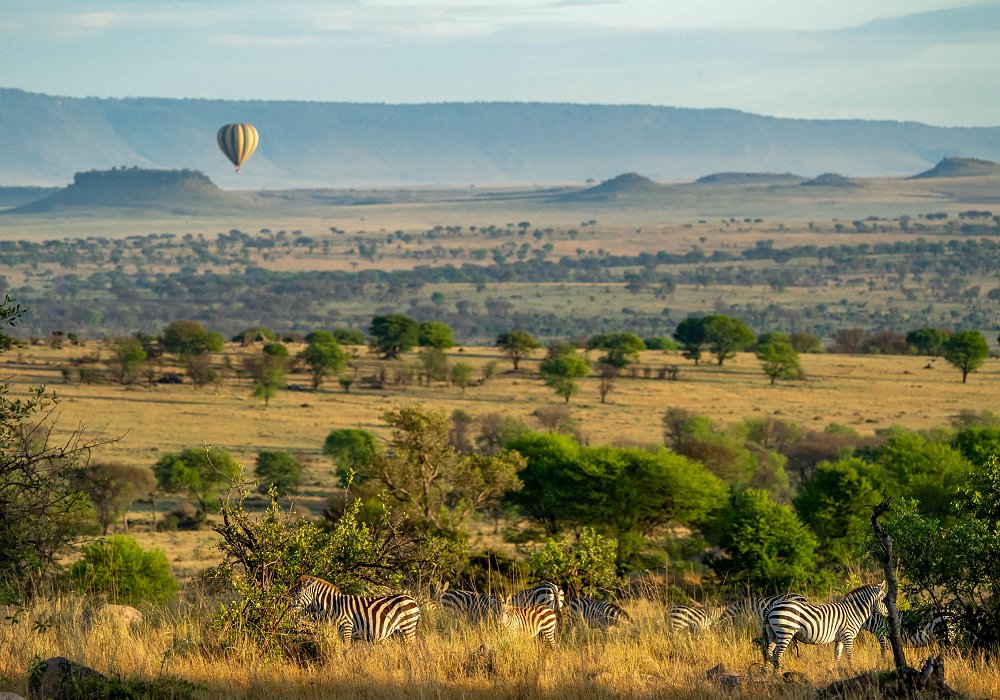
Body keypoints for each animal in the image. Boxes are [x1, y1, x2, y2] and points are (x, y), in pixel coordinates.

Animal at [288, 576, 420, 644]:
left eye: (298, 594)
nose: (289, 610)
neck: (334, 606)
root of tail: (412, 599)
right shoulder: (339, 631)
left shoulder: (346, 627)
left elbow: (345, 651)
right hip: (401, 631)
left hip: (408, 627)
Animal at [764, 580, 892, 668]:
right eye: (884, 599)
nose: (890, 614)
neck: (853, 612)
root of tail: (772, 607)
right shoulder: (848, 636)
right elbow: (849, 655)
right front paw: (852, 670)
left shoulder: (839, 639)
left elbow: (837, 656)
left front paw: (838, 672)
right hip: (785, 632)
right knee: (777, 654)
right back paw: (778, 674)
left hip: (773, 634)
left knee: (769, 652)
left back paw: (769, 674)